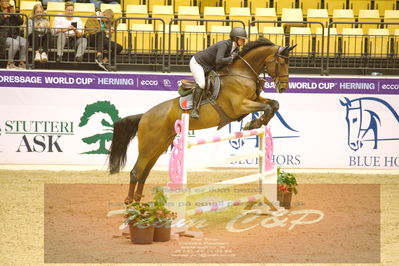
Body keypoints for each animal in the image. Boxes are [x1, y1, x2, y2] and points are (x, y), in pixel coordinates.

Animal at [108, 38, 296, 204]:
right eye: (281, 62)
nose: (283, 87)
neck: (242, 74)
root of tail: (145, 115)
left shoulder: (255, 99)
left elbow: (273, 104)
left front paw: (257, 123)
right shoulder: (240, 106)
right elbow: (267, 107)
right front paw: (254, 124)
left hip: (160, 145)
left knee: (145, 172)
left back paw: (138, 200)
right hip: (148, 146)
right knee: (136, 171)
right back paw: (130, 202)